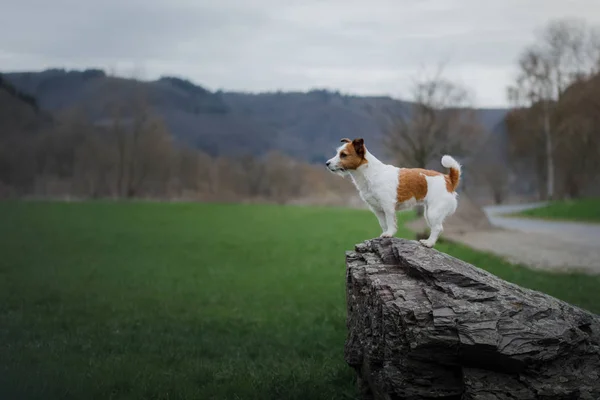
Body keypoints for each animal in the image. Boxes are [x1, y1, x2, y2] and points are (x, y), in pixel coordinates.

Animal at [328, 139, 460, 248]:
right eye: (338, 153)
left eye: (343, 155)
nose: (327, 163)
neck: (371, 173)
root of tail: (448, 179)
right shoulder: (377, 209)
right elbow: (383, 223)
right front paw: (384, 233)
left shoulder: (388, 206)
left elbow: (390, 222)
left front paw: (389, 234)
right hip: (428, 213)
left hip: (433, 212)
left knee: (437, 228)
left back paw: (429, 243)